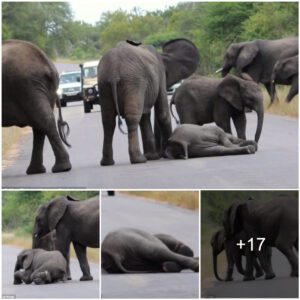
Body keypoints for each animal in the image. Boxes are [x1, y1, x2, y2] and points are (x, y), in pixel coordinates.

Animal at [2, 40, 71, 176]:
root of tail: (47, 64)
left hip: (26, 85)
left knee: (42, 120)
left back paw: (61, 168)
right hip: (42, 88)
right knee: (40, 124)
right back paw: (36, 171)